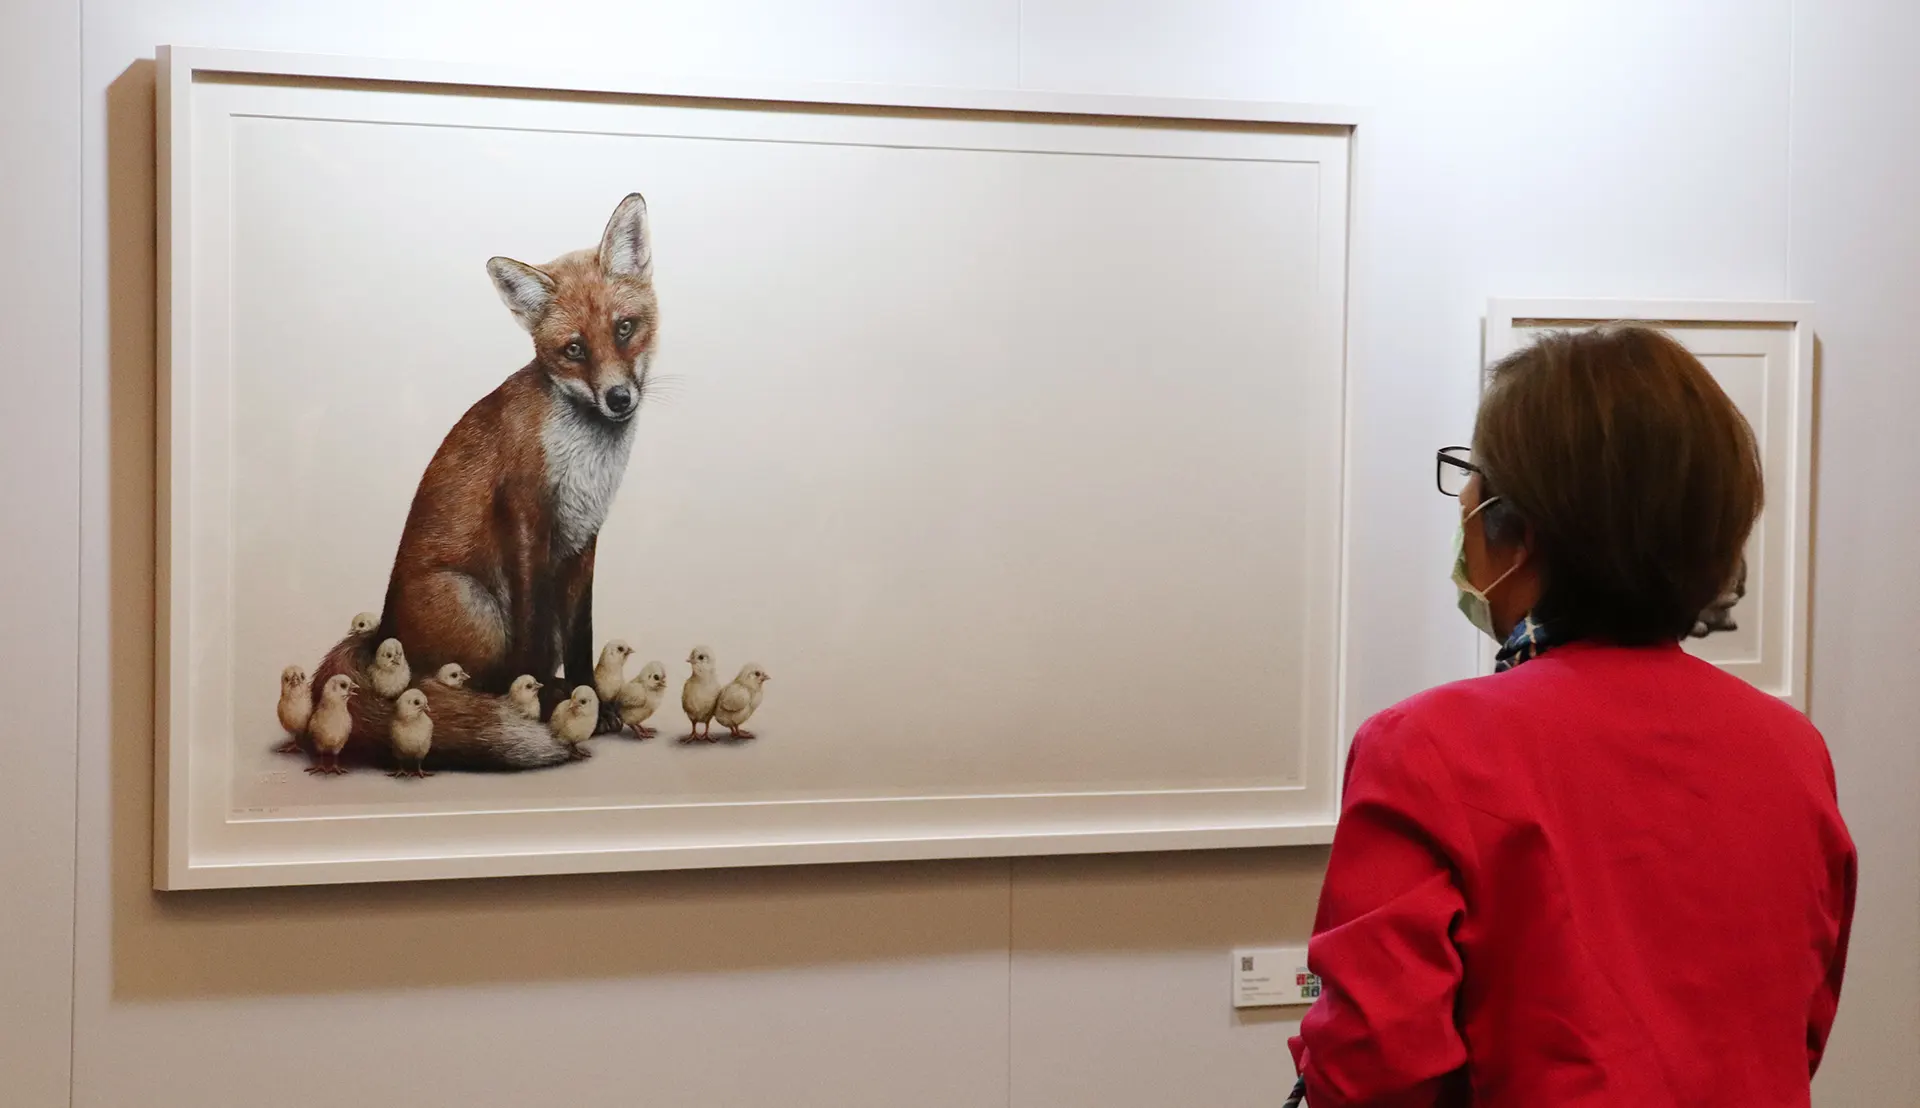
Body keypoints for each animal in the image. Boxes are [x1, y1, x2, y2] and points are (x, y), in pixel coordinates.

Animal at [305, 193, 659, 771]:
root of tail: (381, 632)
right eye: (575, 349)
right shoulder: (524, 518)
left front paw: (591, 700)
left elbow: (581, 633)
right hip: (478, 607)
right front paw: (543, 700)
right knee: (449, 678)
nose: (618, 399)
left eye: (624, 329)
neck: (584, 459)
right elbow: (532, 626)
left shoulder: (584, 536)